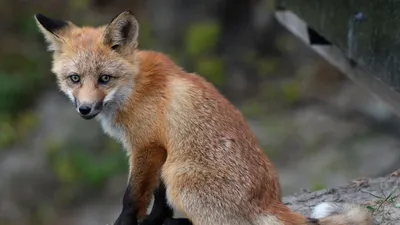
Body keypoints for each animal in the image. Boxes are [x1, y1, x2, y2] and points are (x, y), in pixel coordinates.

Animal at [33, 10, 372, 225]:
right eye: (74, 79)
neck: (134, 88)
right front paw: (157, 223)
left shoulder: (147, 147)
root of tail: (268, 200)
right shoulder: (162, 151)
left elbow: (132, 199)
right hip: (174, 172)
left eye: (104, 79)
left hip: (180, 177)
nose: (85, 109)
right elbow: (160, 203)